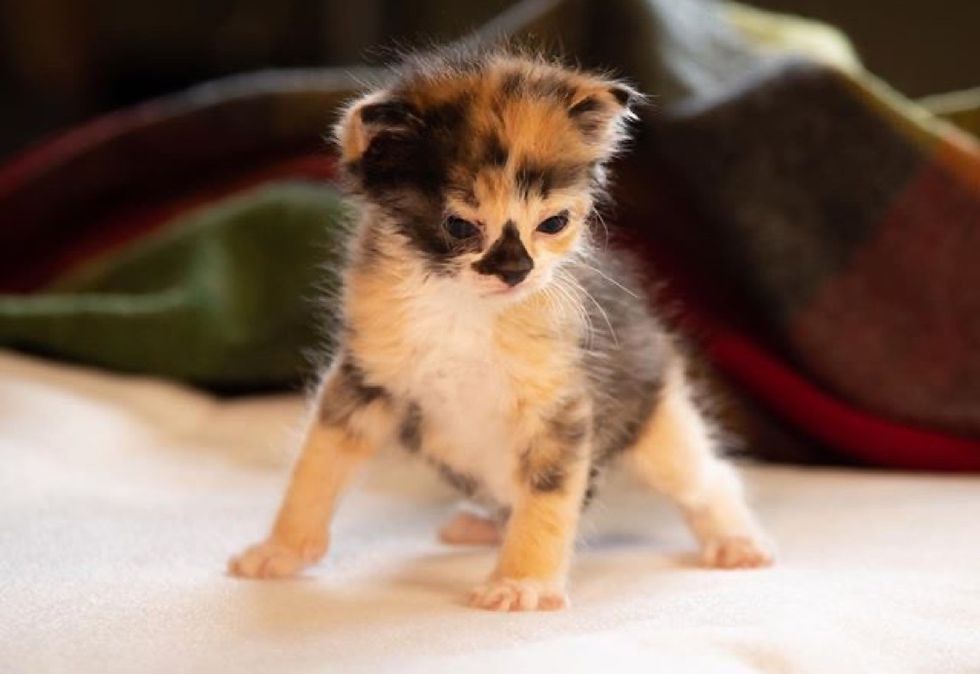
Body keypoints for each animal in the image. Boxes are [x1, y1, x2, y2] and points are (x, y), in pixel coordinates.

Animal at [230, 47, 772, 608]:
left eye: (553, 223)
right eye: (460, 225)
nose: (517, 271)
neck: (463, 308)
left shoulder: (560, 405)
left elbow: (549, 497)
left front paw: (522, 583)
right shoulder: (364, 380)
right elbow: (316, 465)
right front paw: (282, 549)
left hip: (656, 422)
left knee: (706, 478)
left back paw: (735, 541)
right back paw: (482, 525)